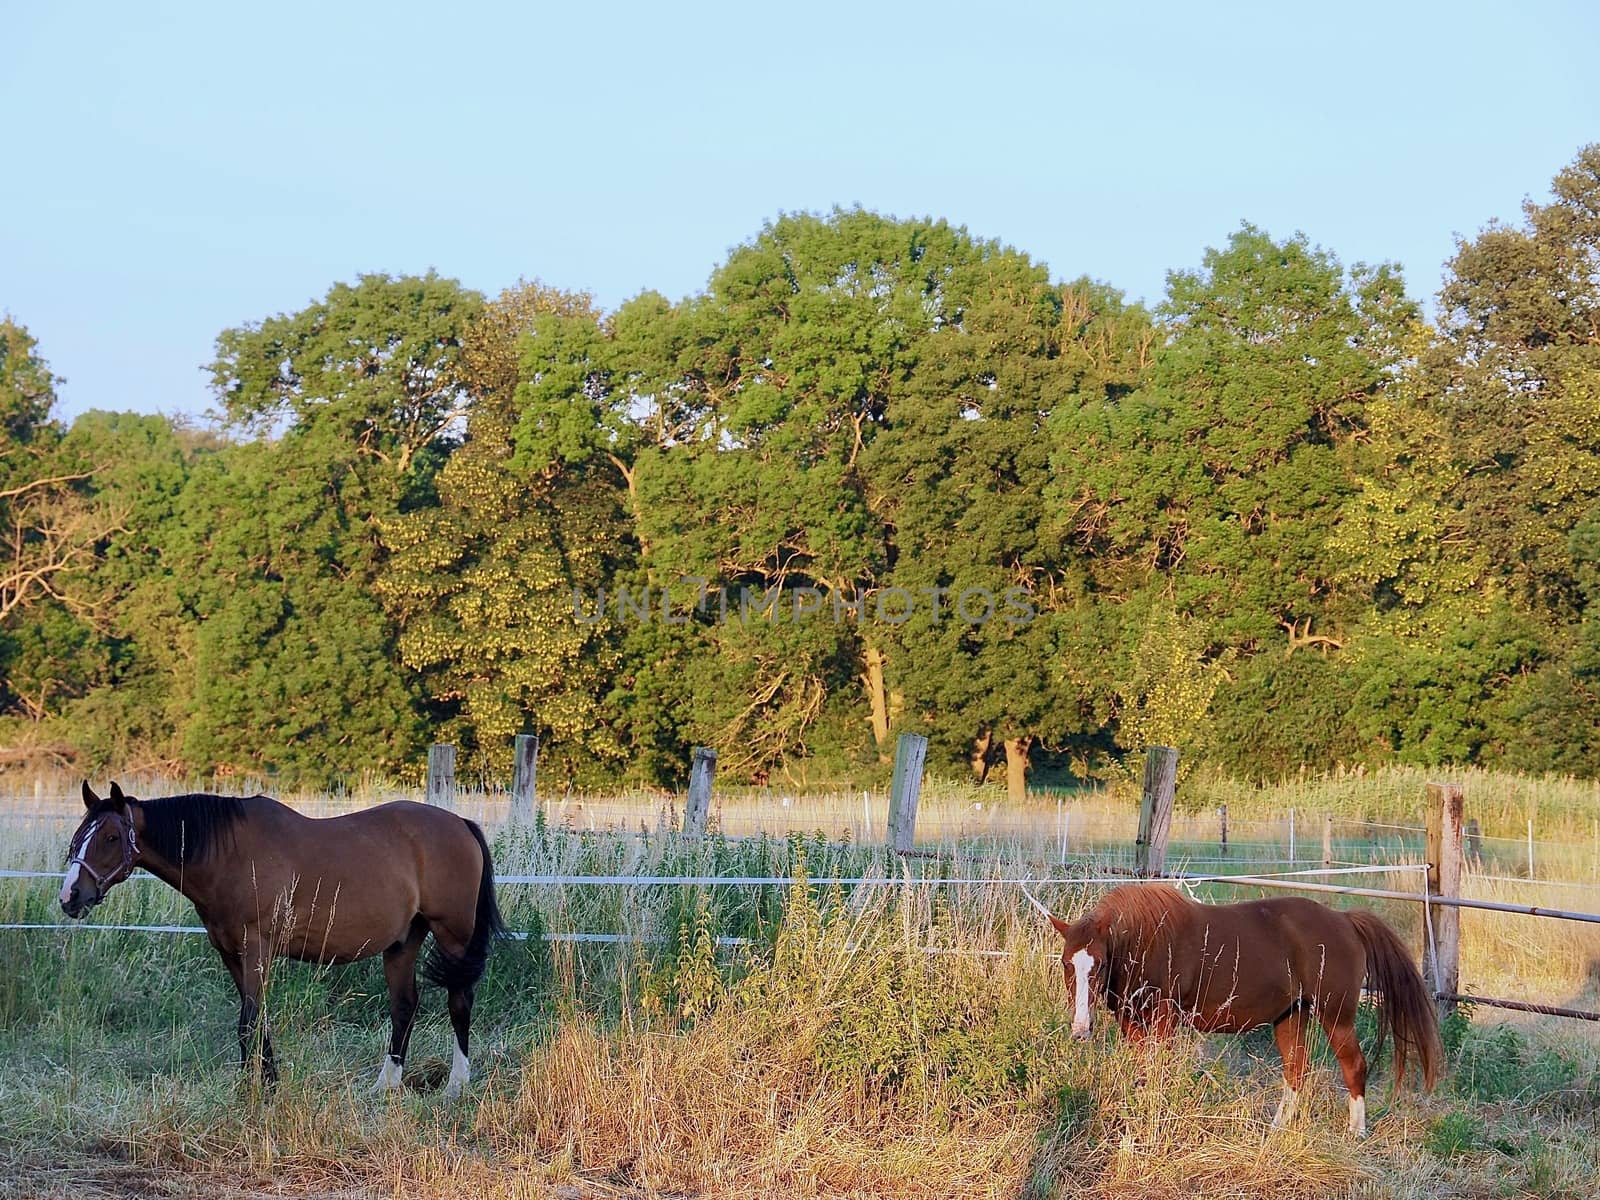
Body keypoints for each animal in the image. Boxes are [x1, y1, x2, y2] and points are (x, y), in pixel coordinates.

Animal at [62, 780, 499, 1100]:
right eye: (78, 836)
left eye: (111, 838)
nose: (70, 896)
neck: (228, 855)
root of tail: (461, 823)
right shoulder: (231, 953)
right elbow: (258, 1020)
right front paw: (268, 1084)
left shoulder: (257, 948)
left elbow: (248, 1022)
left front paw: (249, 1092)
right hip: (403, 941)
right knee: (405, 1006)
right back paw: (385, 1085)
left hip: (453, 935)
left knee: (459, 1002)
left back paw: (457, 1086)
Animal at [1043, 883, 1446, 1139]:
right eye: (1066, 963)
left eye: (1099, 964)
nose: (1080, 1028)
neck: (1148, 940)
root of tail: (1344, 920)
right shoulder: (1132, 1022)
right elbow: (1143, 1073)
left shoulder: (1164, 1019)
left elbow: (1159, 1074)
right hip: (1291, 1014)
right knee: (1297, 1070)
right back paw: (1277, 1128)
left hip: (1336, 1016)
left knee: (1354, 1067)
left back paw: (1356, 1132)